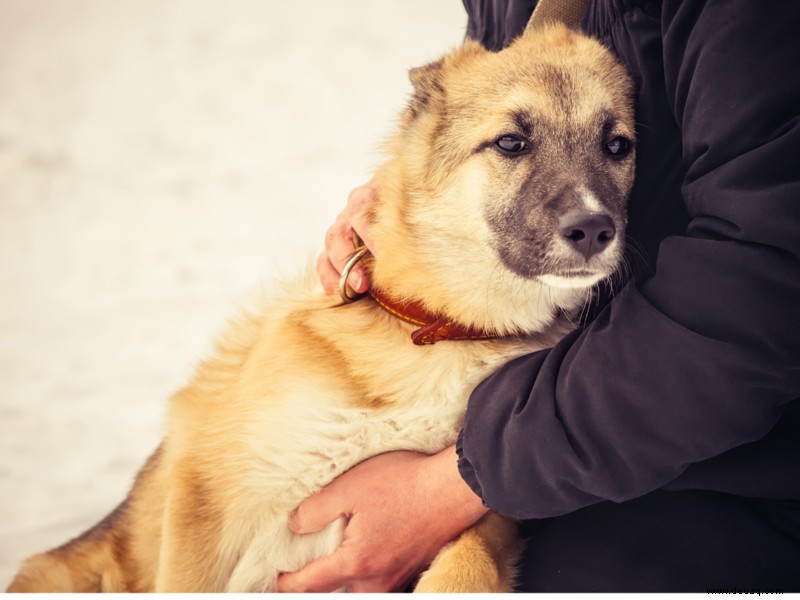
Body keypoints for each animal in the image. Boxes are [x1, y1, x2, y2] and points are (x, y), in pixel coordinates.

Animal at [4, 23, 632, 596]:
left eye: (617, 146)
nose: (594, 229)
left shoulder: (475, 503)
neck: (439, 334)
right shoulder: (202, 500)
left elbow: (468, 565)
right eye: (510, 143)